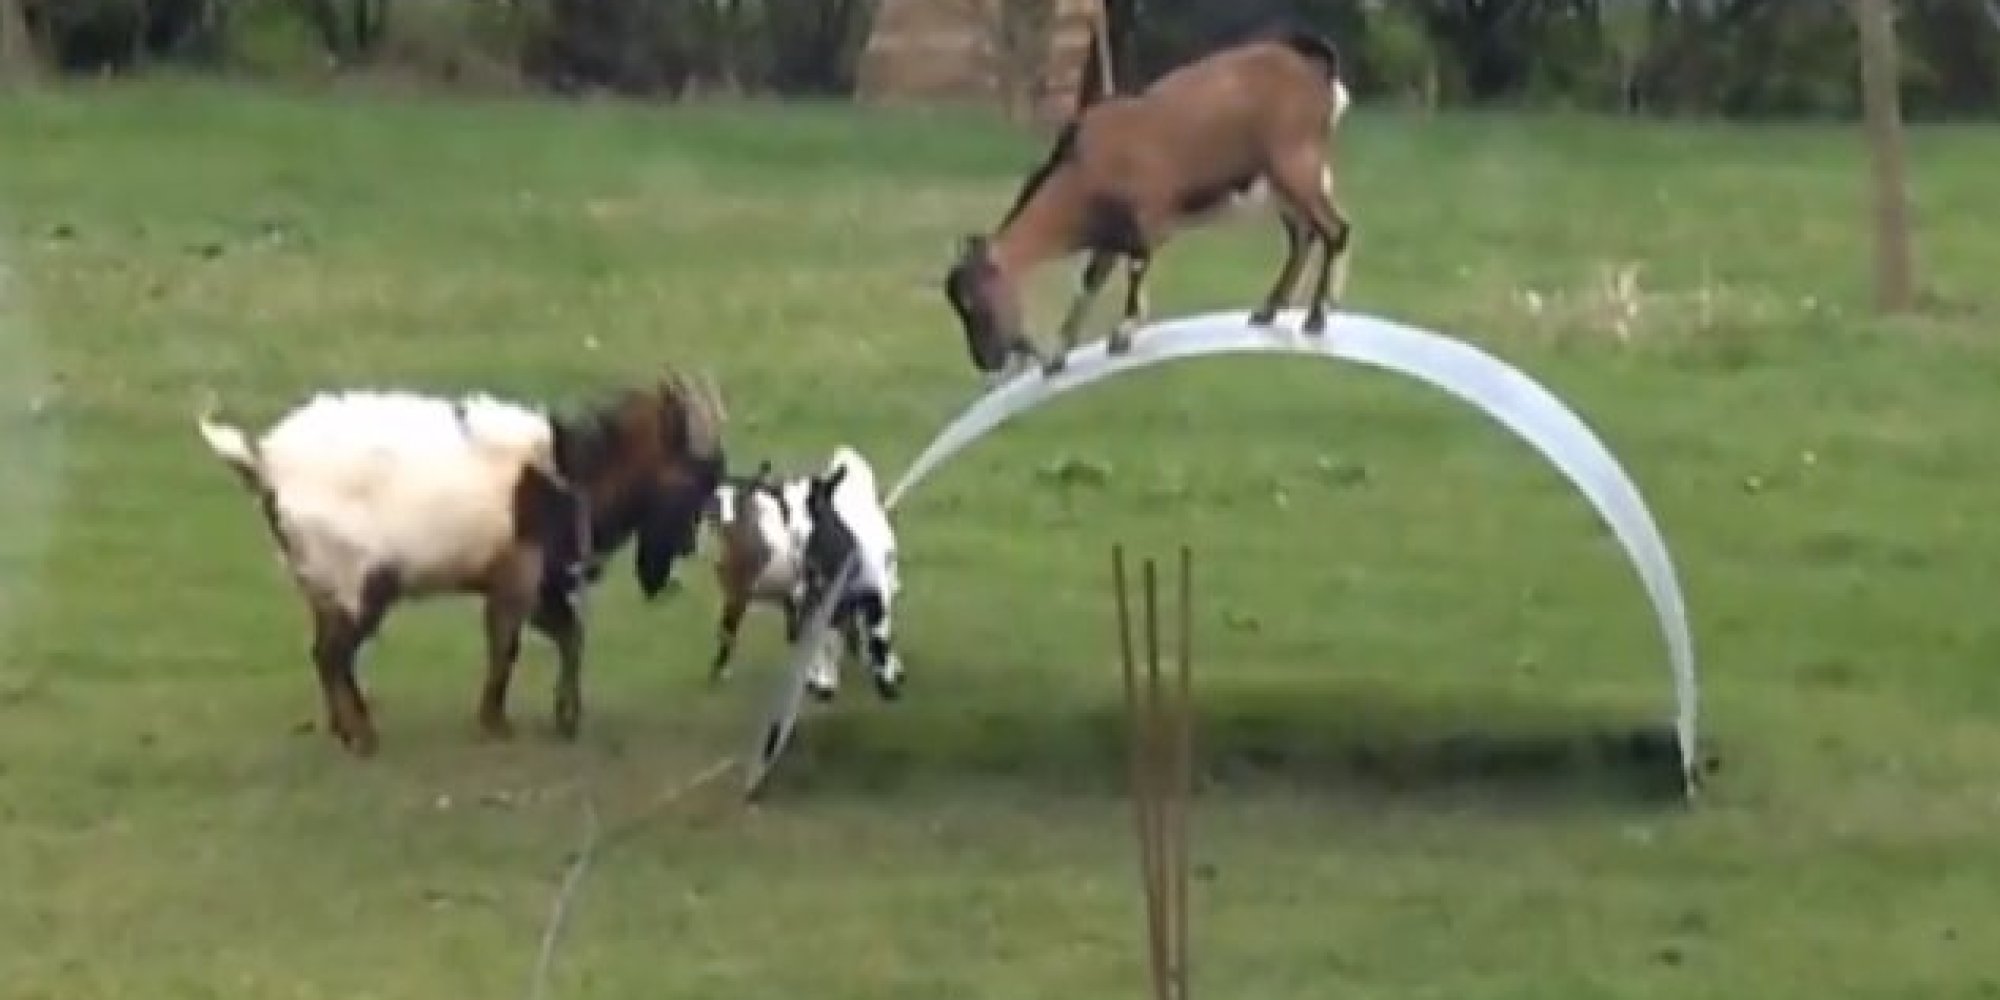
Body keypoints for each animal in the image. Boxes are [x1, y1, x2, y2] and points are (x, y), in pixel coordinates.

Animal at [195, 370, 727, 756]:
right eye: (696, 478)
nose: (686, 550)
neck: (569, 476)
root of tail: (267, 464)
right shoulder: (518, 576)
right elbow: (506, 647)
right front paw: (496, 723)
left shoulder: (533, 585)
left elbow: (569, 634)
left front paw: (565, 716)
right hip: (360, 582)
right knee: (330, 653)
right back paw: (362, 737)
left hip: (321, 584)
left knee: (329, 653)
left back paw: (344, 728)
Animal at [942, 25, 1356, 379]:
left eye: (976, 303)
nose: (986, 361)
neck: (1082, 168)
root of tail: (1315, 67)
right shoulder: (1110, 237)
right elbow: (1088, 284)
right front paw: (1059, 354)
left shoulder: (1145, 221)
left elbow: (1136, 271)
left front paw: (1122, 334)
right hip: (1278, 185)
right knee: (1303, 236)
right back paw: (1267, 311)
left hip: (1296, 167)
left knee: (1336, 230)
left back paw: (1316, 316)